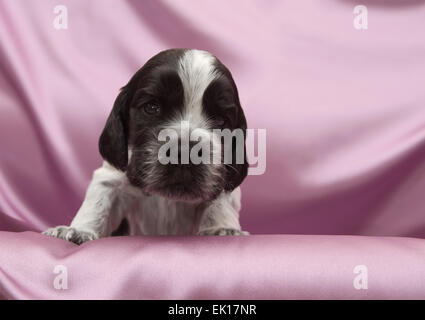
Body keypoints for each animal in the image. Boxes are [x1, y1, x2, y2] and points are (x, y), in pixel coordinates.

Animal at [43, 48, 248, 245]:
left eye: (220, 119)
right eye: (152, 107)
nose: (184, 151)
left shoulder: (222, 178)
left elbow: (220, 203)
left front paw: (221, 228)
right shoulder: (113, 175)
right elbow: (99, 200)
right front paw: (78, 230)